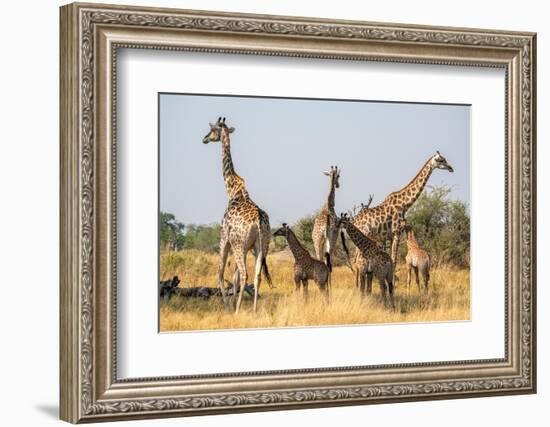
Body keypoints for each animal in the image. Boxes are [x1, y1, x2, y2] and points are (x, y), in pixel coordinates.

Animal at [202, 117, 272, 314]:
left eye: (212, 129)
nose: (204, 139)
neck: (232, 190)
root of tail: (258, 221)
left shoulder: (224, 238)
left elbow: (220, 273)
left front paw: (228, 307)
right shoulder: (245, 247)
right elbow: (233, 277)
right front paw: (233, 305)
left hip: (239, 245)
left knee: (244, 274)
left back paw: (238, 309)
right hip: (261, 246)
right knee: (256, 276)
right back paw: (253, 309)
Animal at [354, 152, 452, 282]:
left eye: (444, 159)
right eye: (440, 160)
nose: (451, 168)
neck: (404, 204)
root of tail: (354, 221)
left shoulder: (390, 235)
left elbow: (392, 259)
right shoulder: (396, 232)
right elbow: (394, 261)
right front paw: (392, 283)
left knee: (355, 260)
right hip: (364, 233)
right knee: (355, 260)